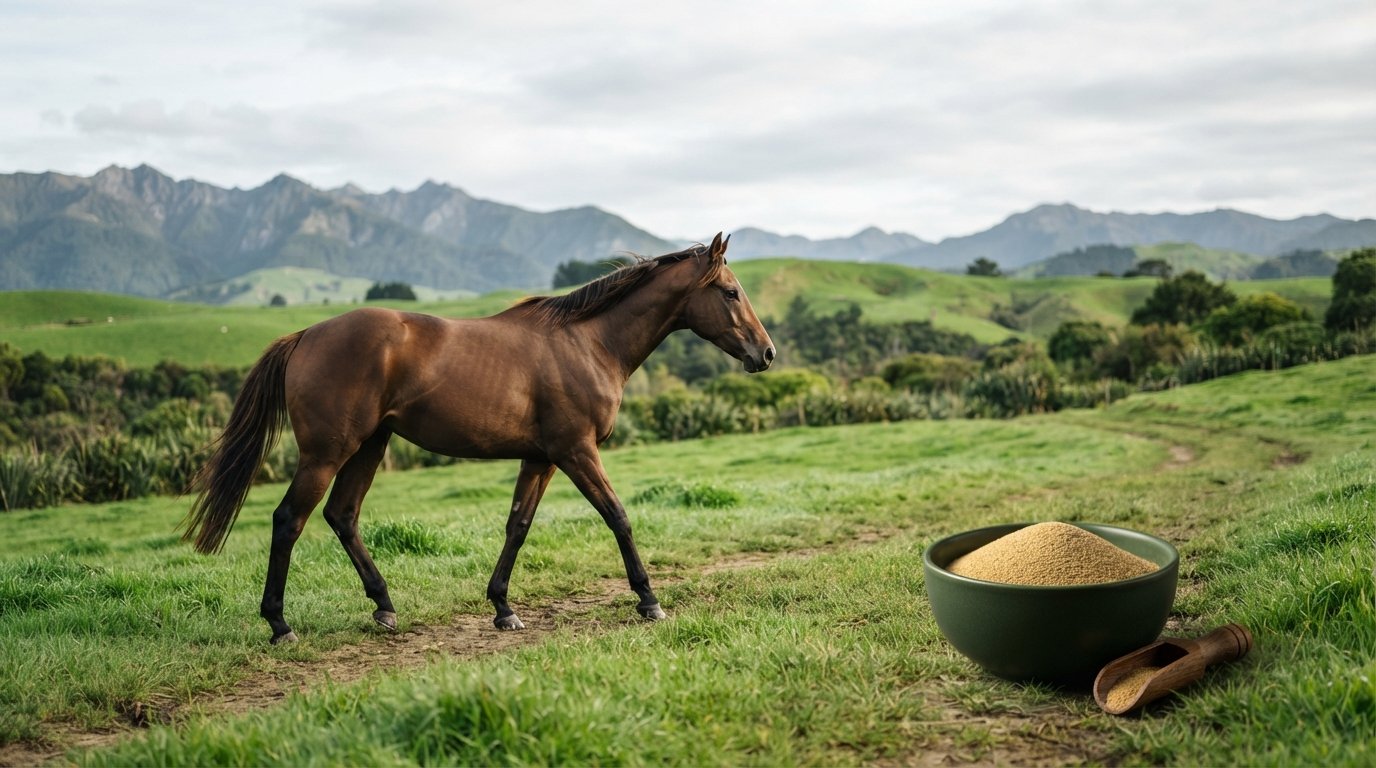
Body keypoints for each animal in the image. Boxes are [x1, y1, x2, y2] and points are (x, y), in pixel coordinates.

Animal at [182, 233, 774, 644]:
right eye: (731, 292)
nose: (765, 353)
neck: (588, 342)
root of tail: (306, 335)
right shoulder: (577, 451)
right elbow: (618, 516)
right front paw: (648, 599)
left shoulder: (541, 459)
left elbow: (518, 526)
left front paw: (503, 608)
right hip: (327, 453)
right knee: (290, 520)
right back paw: (280, 624)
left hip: (369, 446)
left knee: (342, 516)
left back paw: (384, 607)